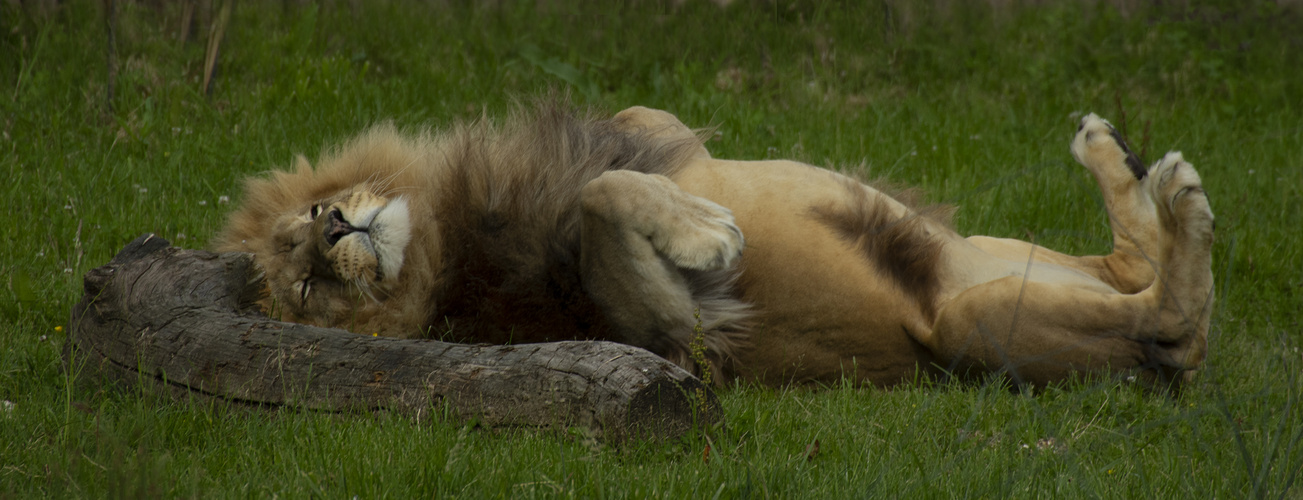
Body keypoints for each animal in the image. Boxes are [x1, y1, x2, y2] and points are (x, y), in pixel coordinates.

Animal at [213, 101, 1209, 388]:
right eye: (305, 290)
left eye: (310, 219)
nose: (334, 230)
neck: (446, 242)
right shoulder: (675, 335)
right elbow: (603, 197)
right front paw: (707, 232)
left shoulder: (652, 126)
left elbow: (632, 147)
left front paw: (691, 202)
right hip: (973, 323)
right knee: (1172, 324)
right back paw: (1183, 209)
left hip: (997, 251)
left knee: (1128, 266)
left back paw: (1118, 157)